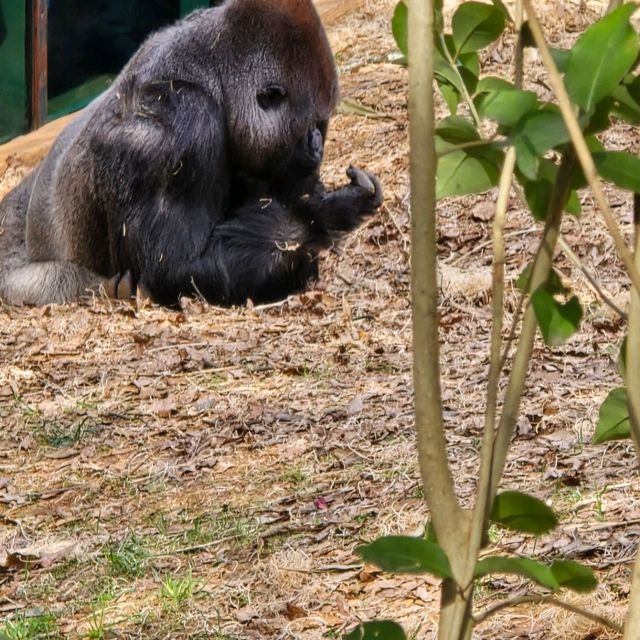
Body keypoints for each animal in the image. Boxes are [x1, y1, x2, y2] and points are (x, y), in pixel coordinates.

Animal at [0, 0, 382, 308]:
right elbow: (178, 268)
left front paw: (330, 205)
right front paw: (317, 225)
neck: (213, 76)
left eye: (323, 124)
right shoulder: (181, 125)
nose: (318, 145)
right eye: (311, 125)